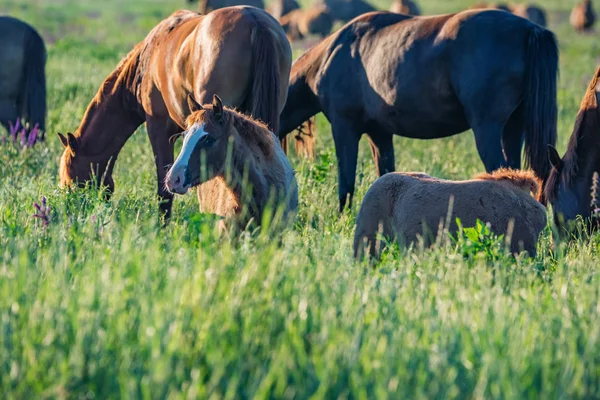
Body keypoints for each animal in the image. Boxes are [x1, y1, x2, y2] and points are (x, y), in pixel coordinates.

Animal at [57, 7, 292, 219]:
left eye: (70, 181)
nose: (71, 208)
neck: (145, 64)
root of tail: (255, 21)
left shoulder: (159, 129)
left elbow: (164, 187)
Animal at [278, 9, 560, 211]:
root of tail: (530, 29)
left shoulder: (345, 129)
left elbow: (346, 182)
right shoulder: (380, 135)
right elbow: (385, 173)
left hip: (487, 130)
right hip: (513, 129)